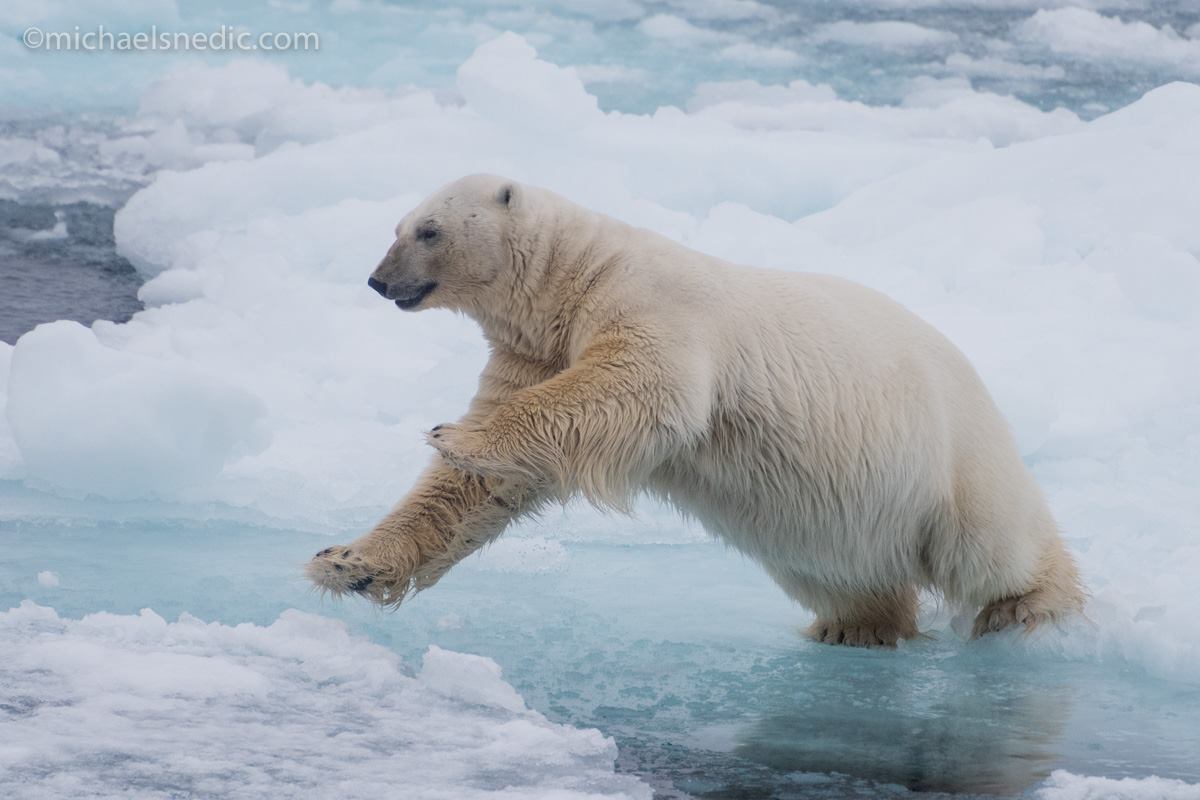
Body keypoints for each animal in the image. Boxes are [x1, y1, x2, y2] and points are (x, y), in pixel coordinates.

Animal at [306, 174, 1085, 646]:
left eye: (428, 230)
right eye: (399, 224)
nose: (377, 280)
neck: (571, 279)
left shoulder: (648, 304)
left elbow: (636, 388)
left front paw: (455, 433)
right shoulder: (534, 348)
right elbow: (479, 493)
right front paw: (345, 563)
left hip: (950, 452)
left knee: (991, 546)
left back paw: (1033, 608)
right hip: (841, 515)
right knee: (839, 567)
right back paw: (854, 628)